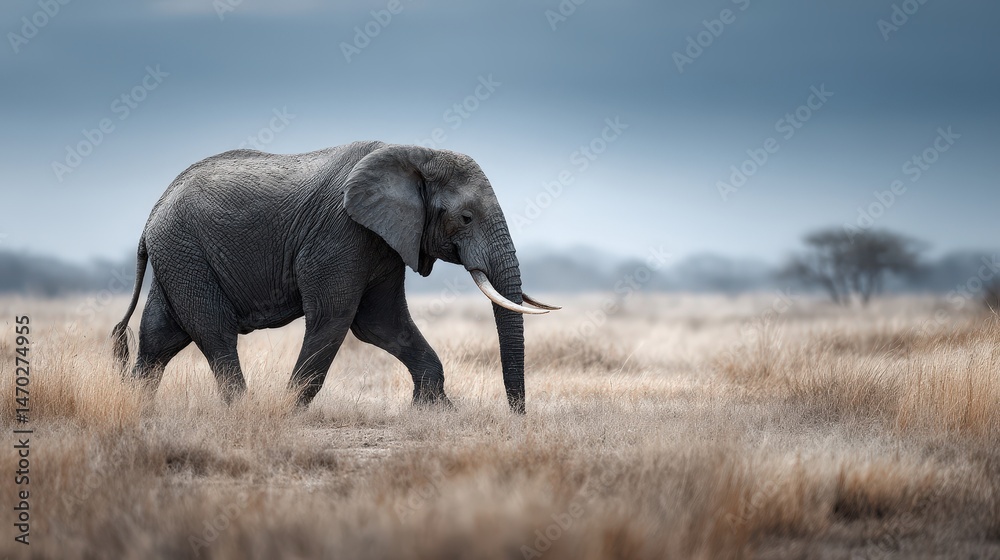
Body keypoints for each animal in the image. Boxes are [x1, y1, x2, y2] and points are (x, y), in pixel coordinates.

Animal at [110, 141, 559, 413]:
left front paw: (437, 411)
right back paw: (243, 411)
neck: (417, 154)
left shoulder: (383, 243)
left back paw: (137, 408)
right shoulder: (341, 234)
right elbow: (334, 318)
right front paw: (288, 412)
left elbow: (383, 324)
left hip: (179, 257)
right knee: (214, 331)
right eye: (465, 218)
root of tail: (152, 215)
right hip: (186, 252)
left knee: (159, 336)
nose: (516, 417)